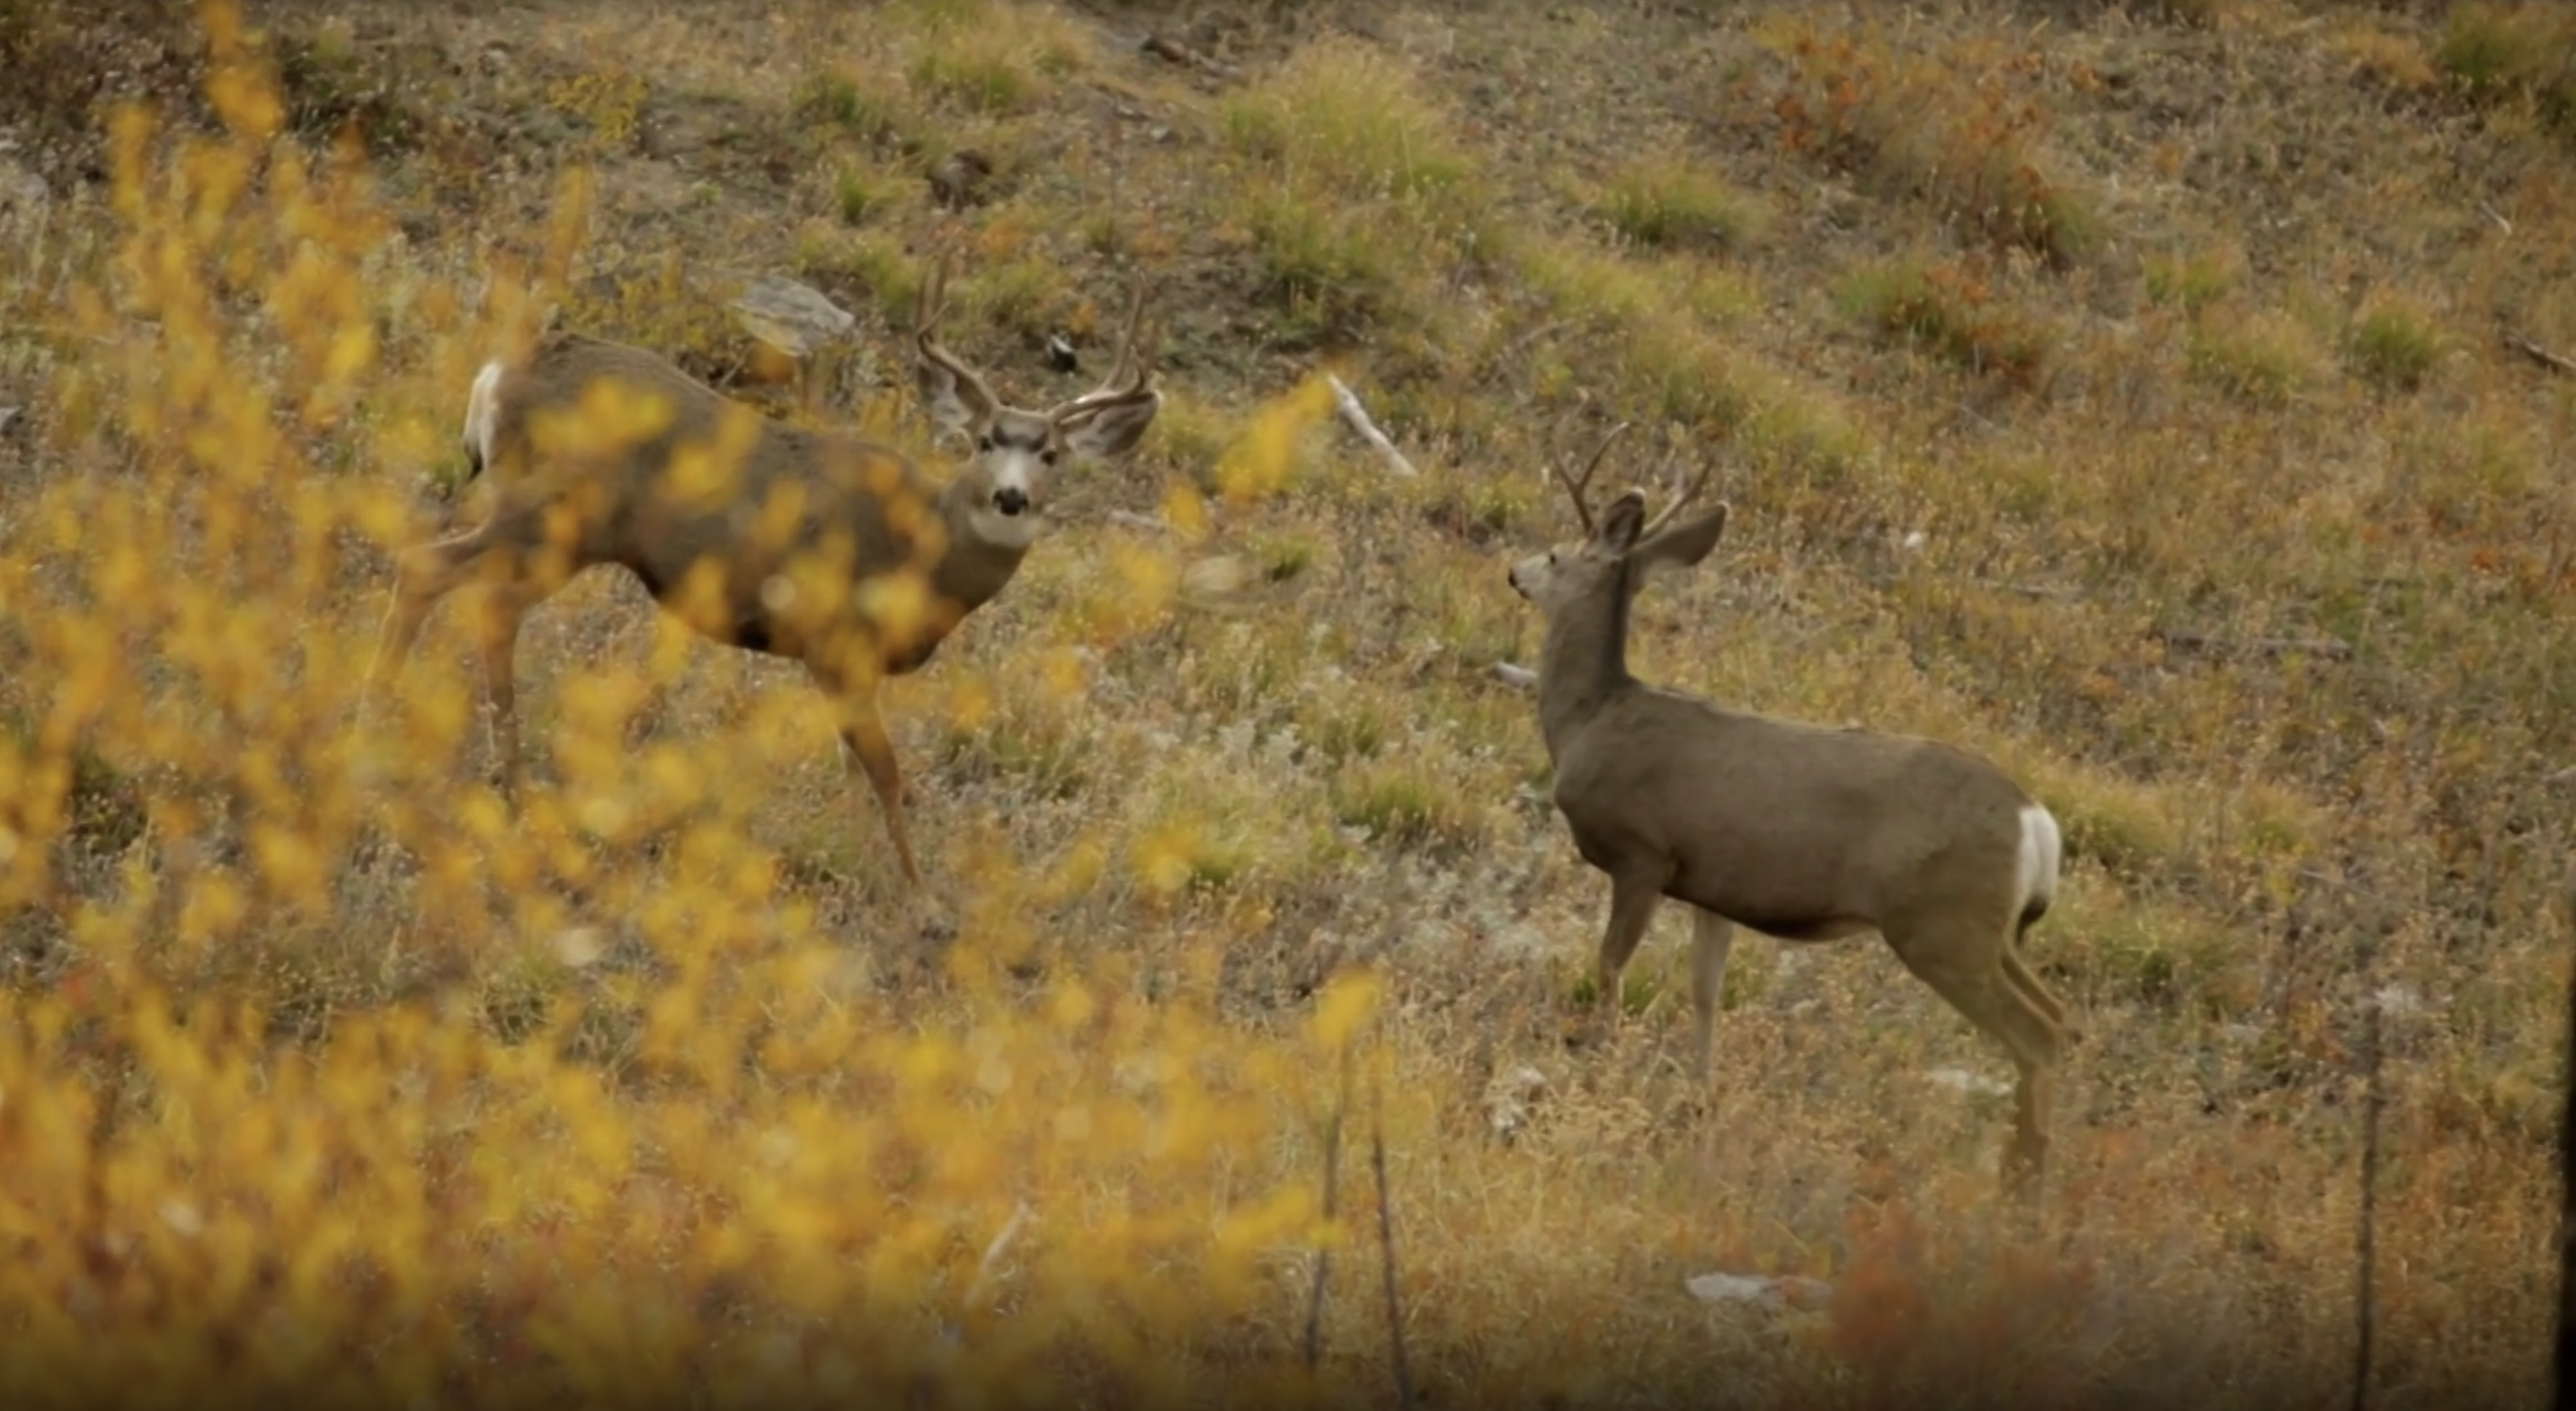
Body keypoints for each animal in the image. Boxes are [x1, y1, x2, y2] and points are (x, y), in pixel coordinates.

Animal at [358, 251, 1164, 900]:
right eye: (986, 440)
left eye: (1051, 454)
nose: (1011, 497)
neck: (921, 550)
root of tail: (500, 371)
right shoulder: (835, 640)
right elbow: (886, 769)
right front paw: (918, 895)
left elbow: (851, 768)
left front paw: (857, 861)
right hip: (550, 513)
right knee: (442, 574)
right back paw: (421, 736)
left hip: (557, 529)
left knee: (473, 592)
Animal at [1504, 422, 2075, 1199]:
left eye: (1558, 554)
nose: (1515, 571)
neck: (1590, 719)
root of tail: (2034, 821)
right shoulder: (1711, 887)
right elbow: (1705, 992)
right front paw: (1697, 1099)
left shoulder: (1642, 853)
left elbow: (1612, 961)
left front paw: (1601, 1052)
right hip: (1997, 931)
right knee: (2057, 1015)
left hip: (1941, 927)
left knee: (2034, 1032)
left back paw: (2024, 1186)